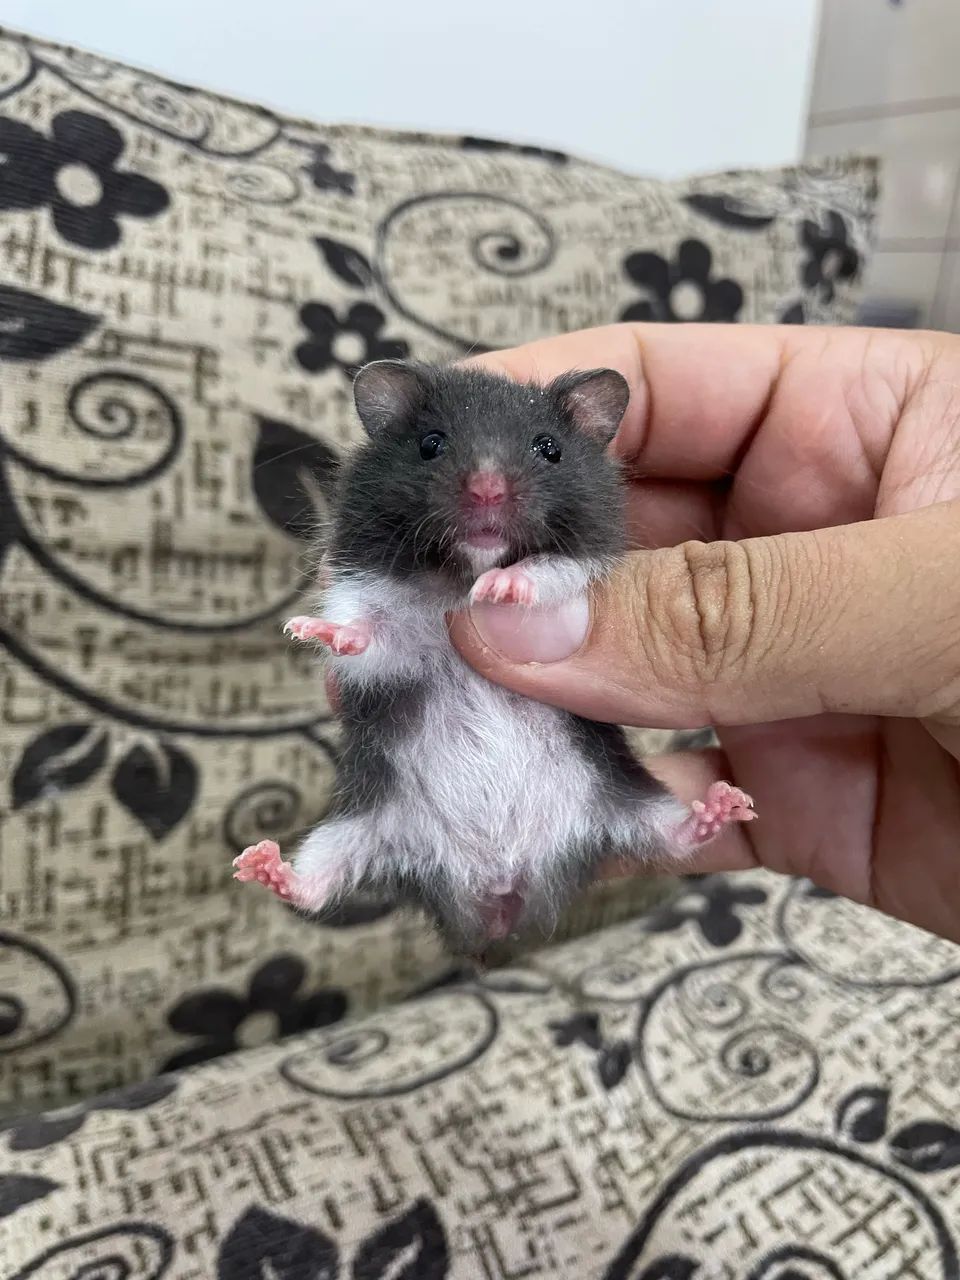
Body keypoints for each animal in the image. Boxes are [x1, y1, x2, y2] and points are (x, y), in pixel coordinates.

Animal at [234, 360, 756, 954]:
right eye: (431, 444)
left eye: (549, 448)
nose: (487, 490)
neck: (461, 570)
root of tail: (499, 891)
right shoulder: (373, 610)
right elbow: (367, 633)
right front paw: (309, 628)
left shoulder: (583, 560)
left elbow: (547, 571)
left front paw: (501, 589)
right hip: (356, 825)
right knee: (316, 885)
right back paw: (260, 865)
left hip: (626, 796)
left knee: (671, 839)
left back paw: (725, 805)